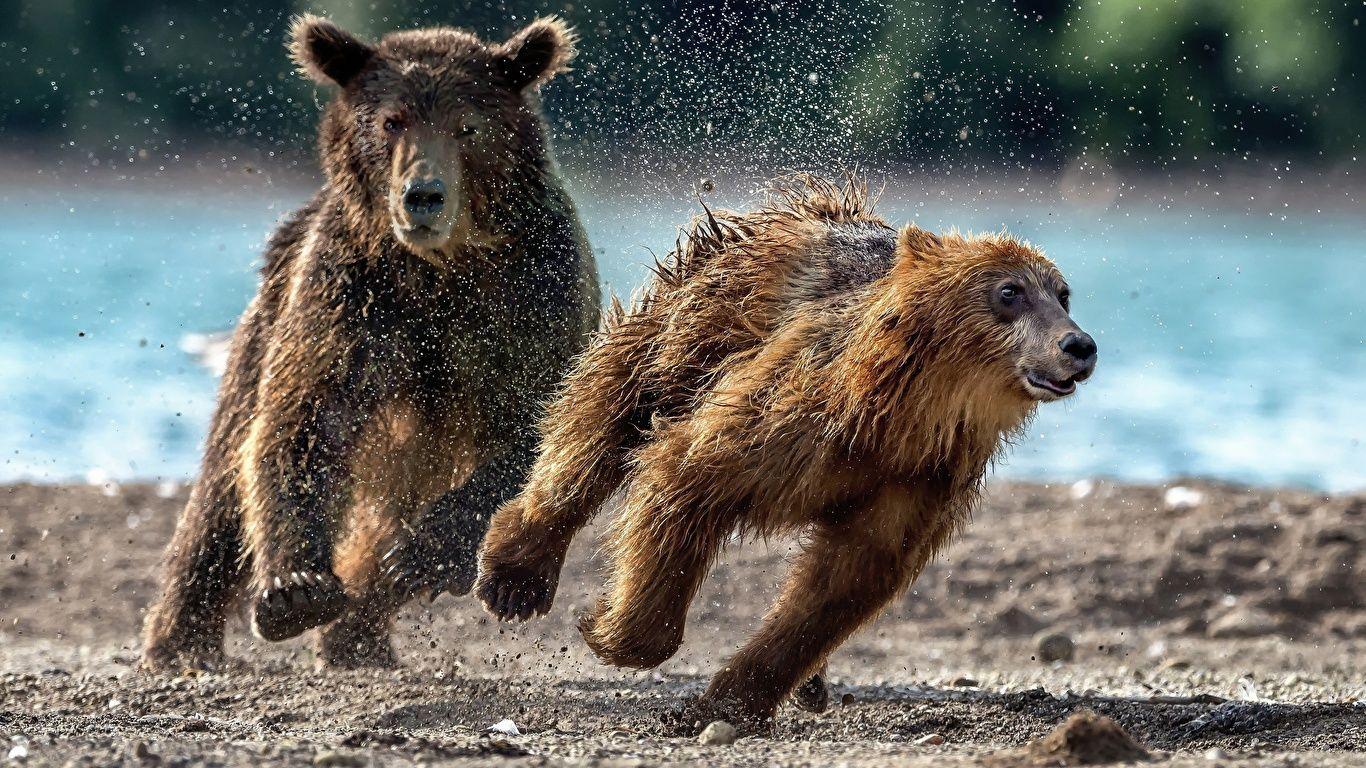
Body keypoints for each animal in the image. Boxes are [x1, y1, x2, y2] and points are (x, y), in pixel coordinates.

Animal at [140, 14, 599, 671]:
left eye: (468, 125)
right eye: (391, 121)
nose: (423, 195)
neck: (443, 268)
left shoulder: (534, 294)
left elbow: (536, 424)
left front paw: (421, 552)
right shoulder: (351, 294)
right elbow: (306, 419)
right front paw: (294, 589)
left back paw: (363, 622)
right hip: (269, 319)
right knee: (223, 490)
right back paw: (181, 640)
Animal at [474, 174, 1096, 729]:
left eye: (1062, 293)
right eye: (1009, 291)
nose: (1079, 344)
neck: (900, 416)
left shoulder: (916, 479)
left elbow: (841, 583)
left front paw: (723, 704)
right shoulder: (792, 417)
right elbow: (686, 473)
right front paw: (610, 629)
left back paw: (813, 685)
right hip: (694, 325)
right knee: (605, 413)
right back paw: (515, 576)